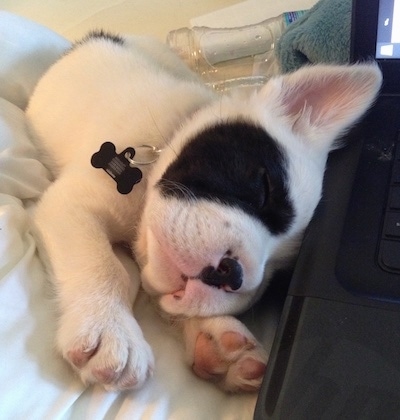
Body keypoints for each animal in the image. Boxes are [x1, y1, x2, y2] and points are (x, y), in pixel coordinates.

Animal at [26, 31, 382, 392]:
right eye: (264, 189)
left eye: (276, 278)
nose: (232, 273)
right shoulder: (71, 205)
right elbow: (106, 266)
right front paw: (110, 328)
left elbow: (163, 297)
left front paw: (217, 338)